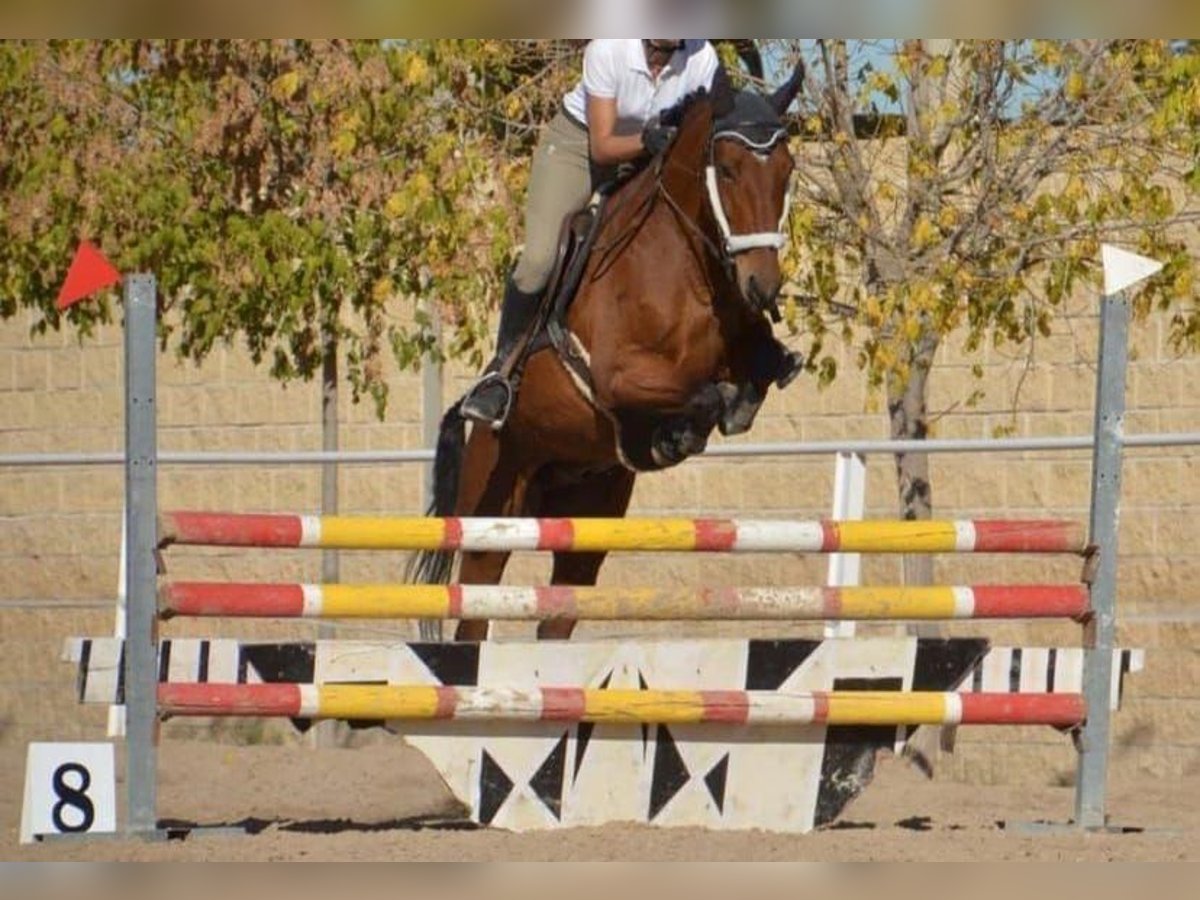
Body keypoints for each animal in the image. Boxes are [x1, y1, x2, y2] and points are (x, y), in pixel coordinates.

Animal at [415, 72, 806, 648]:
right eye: (729, 169)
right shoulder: (617, 378)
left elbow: (755, 376)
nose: (761, 285)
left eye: (786, 171)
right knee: (476, 612)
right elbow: (701, 395)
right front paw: (676, 434)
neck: (686, 270)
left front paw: (721, 412)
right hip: (494, 510)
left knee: (559, 613)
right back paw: (492, 396)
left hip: (591, 513)